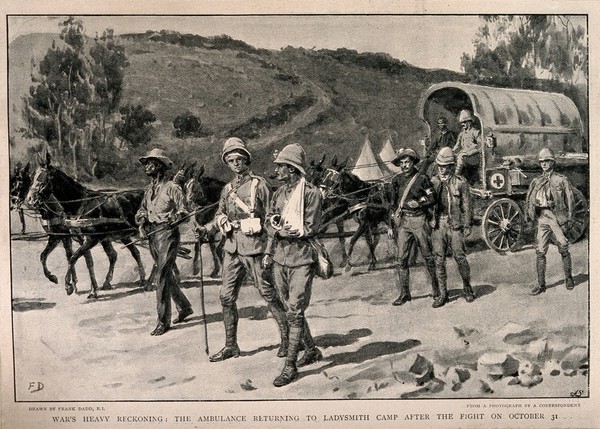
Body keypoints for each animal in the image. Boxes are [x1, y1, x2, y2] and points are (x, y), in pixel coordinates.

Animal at [25, 153, 148, 298]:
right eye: (32, 177)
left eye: (42, 178)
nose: (30, 199)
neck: (80, 204)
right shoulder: (70, 237)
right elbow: (79, 260)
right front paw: (88, 287)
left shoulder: (89, 239)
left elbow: (73, 258)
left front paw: (70, 285)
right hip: (122, 235)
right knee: (132, 253)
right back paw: (138, 279)